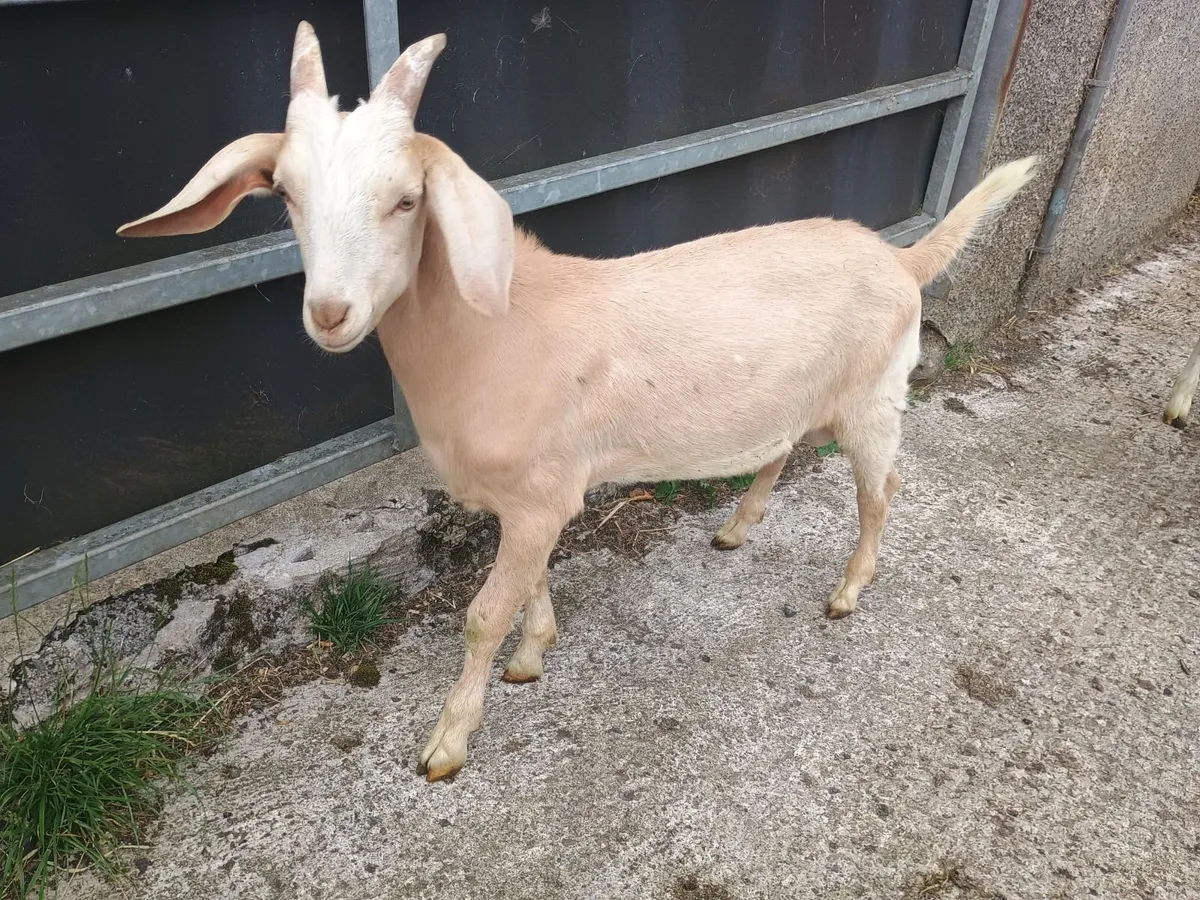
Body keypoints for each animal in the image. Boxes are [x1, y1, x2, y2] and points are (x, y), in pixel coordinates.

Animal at [118, 23, 1038, 781]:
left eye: (407, 199)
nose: (330, 313)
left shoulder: (540, 495)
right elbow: (528, 587)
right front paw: (535, 652)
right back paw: (736, 529)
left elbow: (482, 615)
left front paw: (449, 742)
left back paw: (848, 592)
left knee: (881, 492)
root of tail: (905, 261)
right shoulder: (530, 498)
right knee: (780, 449)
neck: (495, 329)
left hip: (874, 399)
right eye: (283, 192)